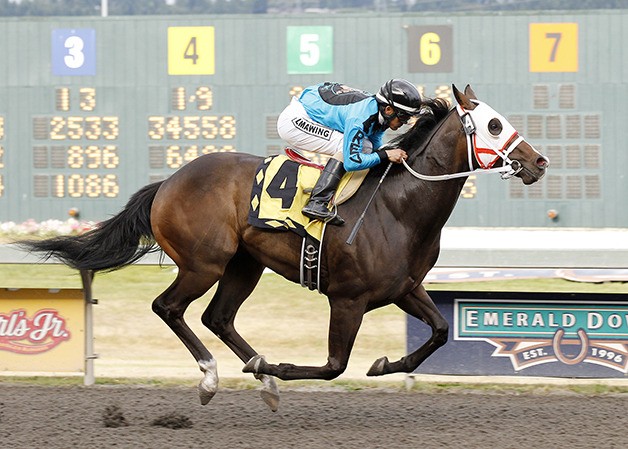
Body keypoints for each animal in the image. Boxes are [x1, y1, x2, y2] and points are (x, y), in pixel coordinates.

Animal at [18, 84, 548, 410]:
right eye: (494, 125)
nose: (538, 161)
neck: (398, 206)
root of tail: (167, 182)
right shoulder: (348, 298)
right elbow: (334, 366)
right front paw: (278, 366)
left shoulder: (404, 287)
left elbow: (438, 332)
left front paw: (385, 364)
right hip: (203, 263)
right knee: (168, 308)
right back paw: (215, 376)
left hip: (243, 265)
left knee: (217, 318)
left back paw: (260, 376)